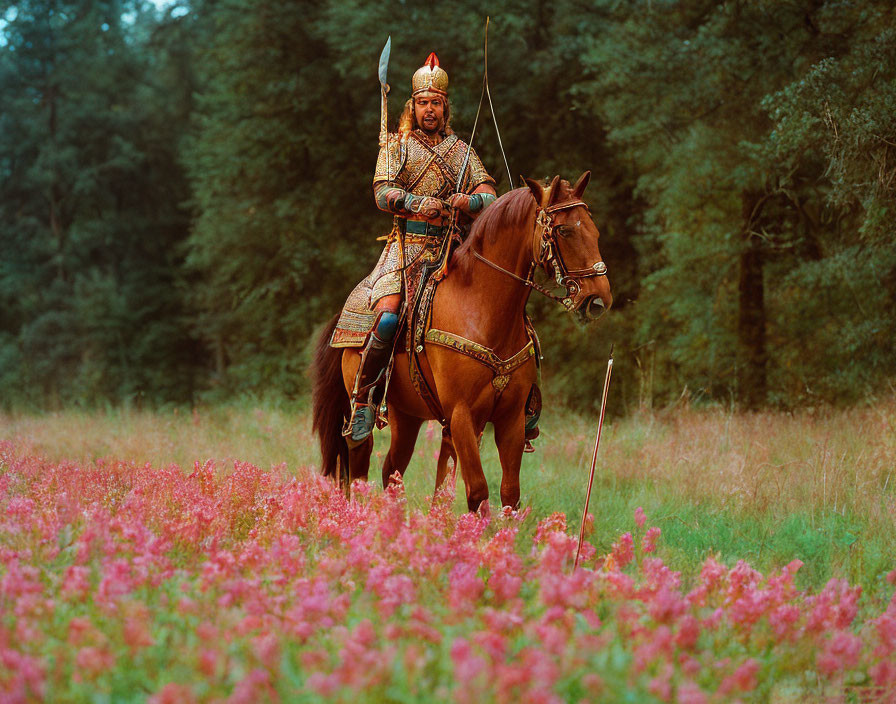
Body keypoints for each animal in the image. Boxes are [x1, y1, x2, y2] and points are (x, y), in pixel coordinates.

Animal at [312, 170, 612, 512]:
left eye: (593, 230)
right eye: (563, 230)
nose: (598, 300)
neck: (482, 306)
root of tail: (343, 317)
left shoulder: (510, 418)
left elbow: (509, 494)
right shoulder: (461, 415)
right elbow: (478, 492)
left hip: (408, 416)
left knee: (392, 470)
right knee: (359, 459)